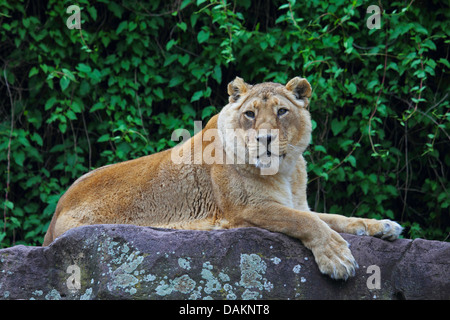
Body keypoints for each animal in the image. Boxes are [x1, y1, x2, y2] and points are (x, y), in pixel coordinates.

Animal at [44, 77, 402, 280]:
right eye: (250, 114)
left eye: (282, 111)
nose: (265, 139)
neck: (286, 170)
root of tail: (54, 214)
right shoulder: (247, 208)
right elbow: (306, 222)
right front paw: (337, 258)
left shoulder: (299, 203)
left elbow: (337, 218)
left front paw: (383, 226)